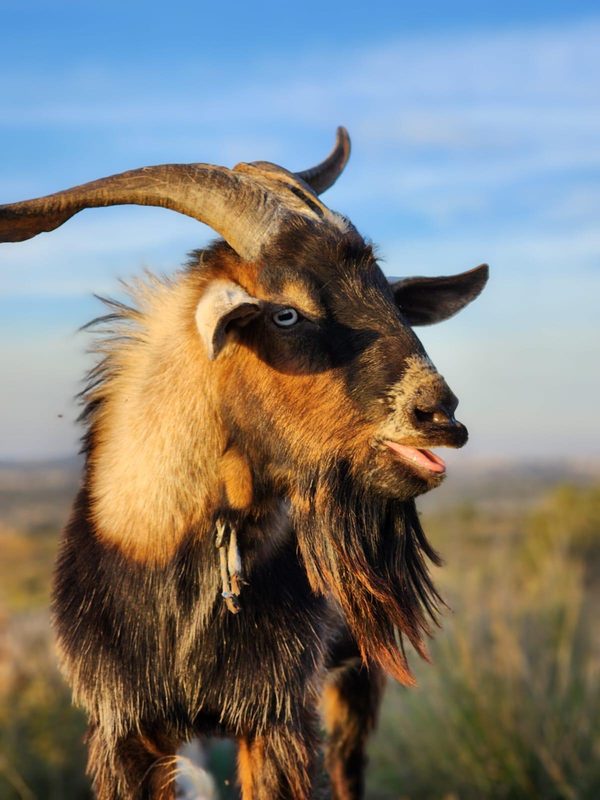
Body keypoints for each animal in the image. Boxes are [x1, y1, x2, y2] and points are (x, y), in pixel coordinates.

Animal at [0, 128, 488, 799]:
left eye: (389, 294)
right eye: (285, 313)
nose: (439, 414)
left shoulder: (277, 715)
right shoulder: (123, 727)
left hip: (355, 678)